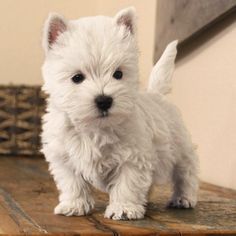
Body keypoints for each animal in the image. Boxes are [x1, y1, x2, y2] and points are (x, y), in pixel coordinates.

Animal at [41, 7, 199, 221]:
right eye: (77, 78)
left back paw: (184, 198)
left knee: (186, 171)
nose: (104, 100)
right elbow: (73, 183)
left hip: (180, 147)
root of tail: (156, 94)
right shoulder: (64, 157)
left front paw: (124, 208)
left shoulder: (133, 157)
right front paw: (74, 205)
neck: (95, 128)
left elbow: (127, 184)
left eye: (118, 74)